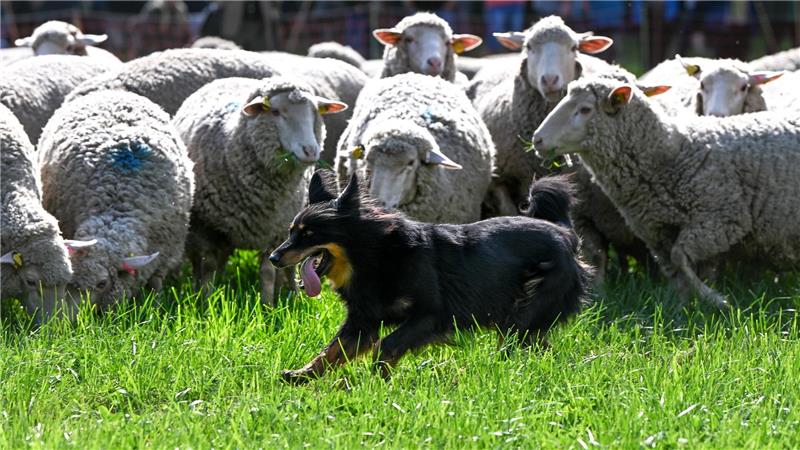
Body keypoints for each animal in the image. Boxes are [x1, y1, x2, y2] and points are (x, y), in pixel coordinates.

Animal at [38, 91, 194, 311]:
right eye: (71, 281)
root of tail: (112, 92)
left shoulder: (165, 255)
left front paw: (155, 305)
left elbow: (156, 285)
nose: (76, 316)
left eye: (102, 283)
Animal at [173, 76, 347, 305]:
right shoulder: (206, 226)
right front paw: (205, 299)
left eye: (314, 112)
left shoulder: (274, 227)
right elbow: (208, 264)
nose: (310, 150)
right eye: (276, 112)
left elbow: (268, 271)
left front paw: (267, 305)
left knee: (290, 266)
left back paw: (294, 293)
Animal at [532, 76, 800, 309]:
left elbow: (680, 257)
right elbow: (675, 269)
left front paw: (714, 299)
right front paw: (682, 308)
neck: (669, 154)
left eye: (585, 109)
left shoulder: (721, 220)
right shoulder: (656, 231)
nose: (537, 140)